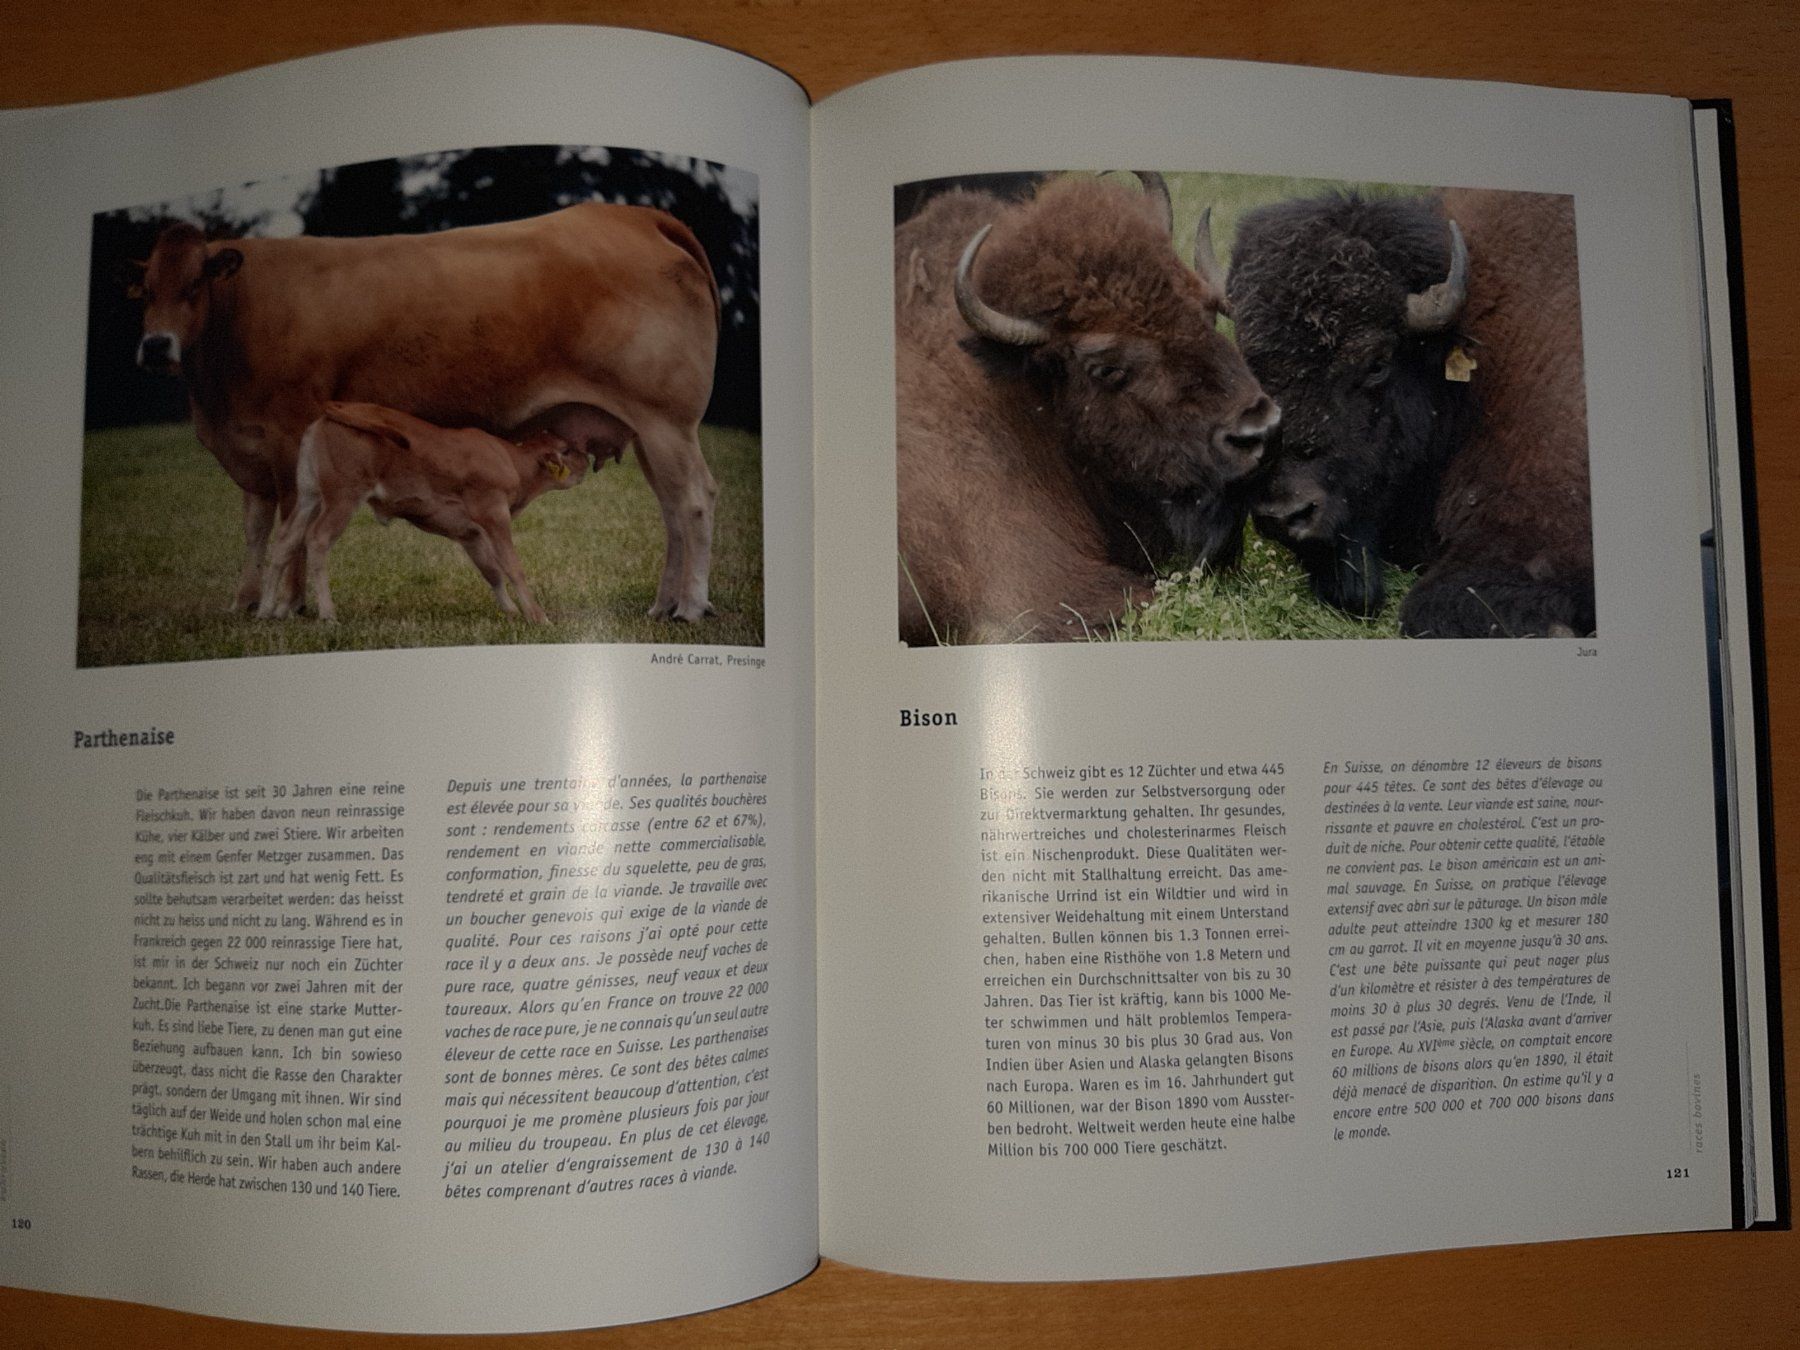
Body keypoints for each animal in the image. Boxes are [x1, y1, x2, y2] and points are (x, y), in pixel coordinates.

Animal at [256, 402, 605, 624]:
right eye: (566, 450)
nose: (587, 461)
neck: (511, 461)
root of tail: (331, 414)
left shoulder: (469, 531)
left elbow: (491, 571)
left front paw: (511, 612)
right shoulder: (494, 515)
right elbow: (512, 566)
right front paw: (538, 617)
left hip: (309, 495)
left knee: (285, 541)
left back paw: (264, 610)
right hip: (342, 496)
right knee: (317, 540)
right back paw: (328, 613)